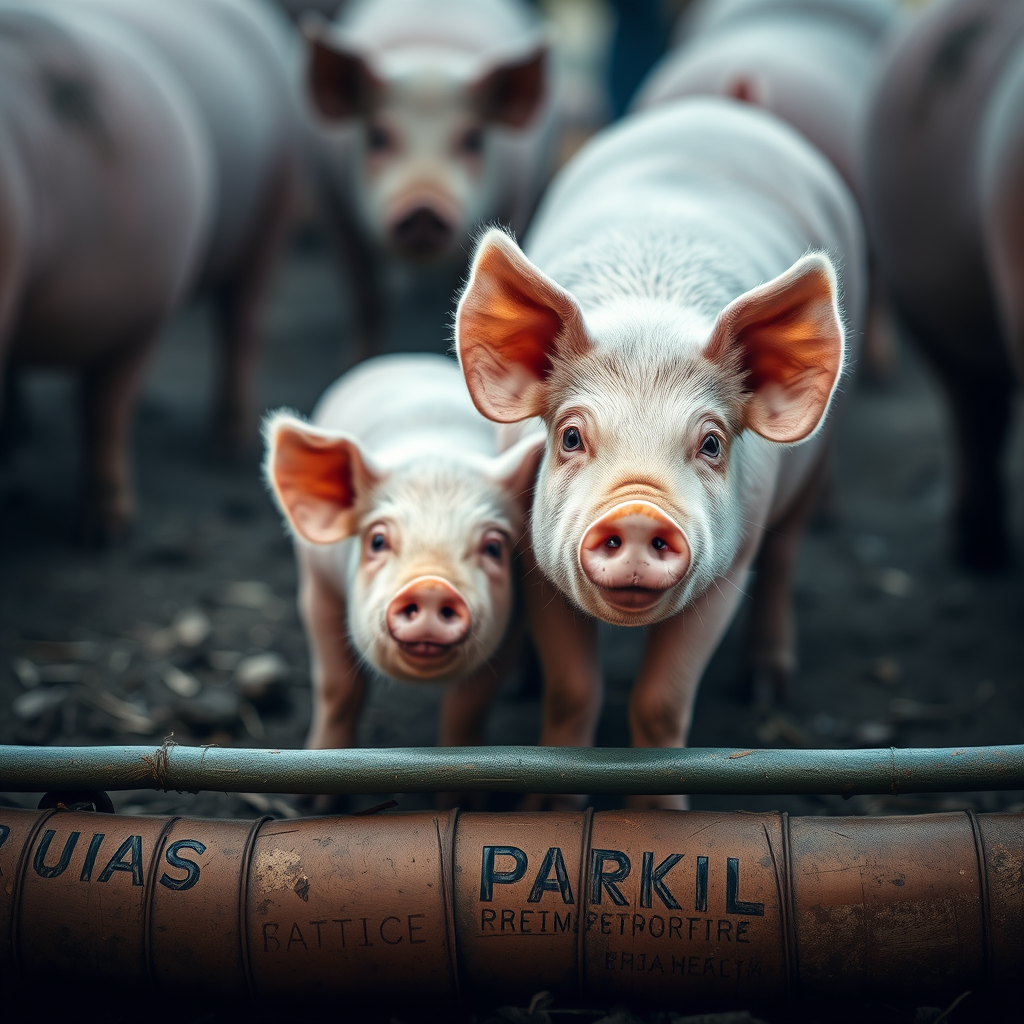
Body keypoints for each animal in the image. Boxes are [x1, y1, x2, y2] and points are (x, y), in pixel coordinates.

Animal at [264, 354, 542, 752]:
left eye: (492, 547)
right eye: (378, 540)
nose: (431, 586)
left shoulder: (512, 617)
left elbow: (468, 708)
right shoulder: (317, 588)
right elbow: (337, 688)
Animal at [301, 0, 556, 357]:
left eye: (473, 140)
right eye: (377, 137)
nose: (423, 207)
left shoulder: (514, 205)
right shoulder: (335, 210)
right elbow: (366, 299)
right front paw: (359, 361)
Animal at [456, 99, 865, 802]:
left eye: (711, 443)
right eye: (570, 437)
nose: (639, 513)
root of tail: (715, 106)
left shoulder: (730, 565)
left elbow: (662, 702)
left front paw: (663, 811)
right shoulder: (538, 559)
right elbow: (573, 691)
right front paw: (550, 804)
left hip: (811, 475)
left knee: (785, 558)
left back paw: (768, 688)